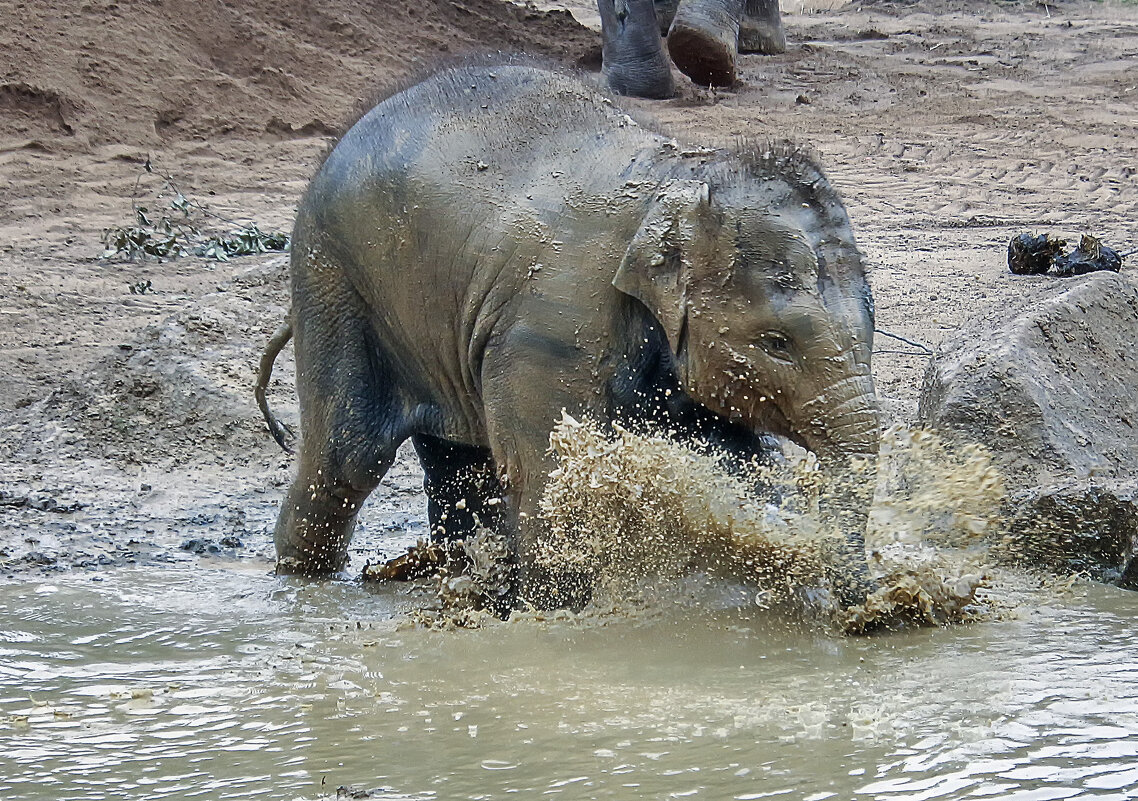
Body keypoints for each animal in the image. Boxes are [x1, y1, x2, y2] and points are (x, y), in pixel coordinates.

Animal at [266, 65, 878, 609]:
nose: (865, 610)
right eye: (777, 342)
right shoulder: (549, 333)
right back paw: (305, 581)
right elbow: (549, 472)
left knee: (456, 463)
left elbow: (744, 461)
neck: (679, 178)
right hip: (333, 279)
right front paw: (558, 611)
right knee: (349, 456)